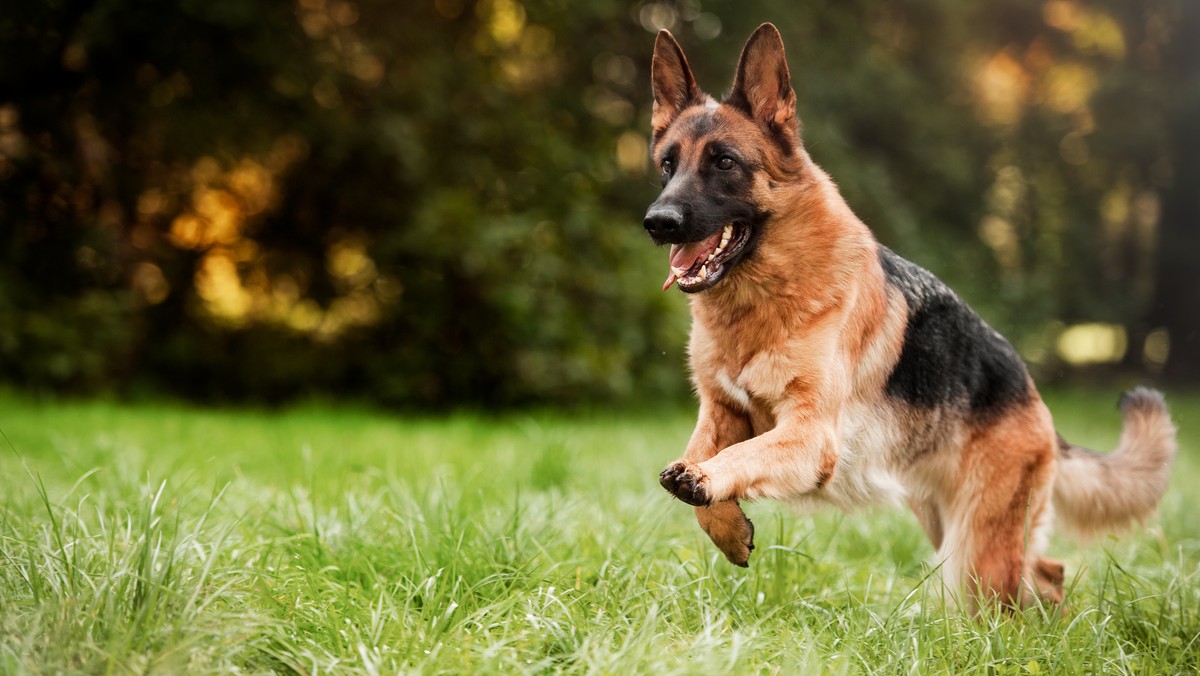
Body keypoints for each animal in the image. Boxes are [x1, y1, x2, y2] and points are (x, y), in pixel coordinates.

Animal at [643, 25, 1176, 607]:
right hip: (949, 523)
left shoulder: (809, 436)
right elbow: (699, 460)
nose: (657, 223)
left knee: (1013, 590)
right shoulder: (721, 411)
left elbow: (736, 459)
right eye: (668, 165)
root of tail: (1033, 395)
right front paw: (726, 526)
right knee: (1046, 570)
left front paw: (707, 484)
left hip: (976, 549)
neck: (763, 301)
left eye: (724, 163)